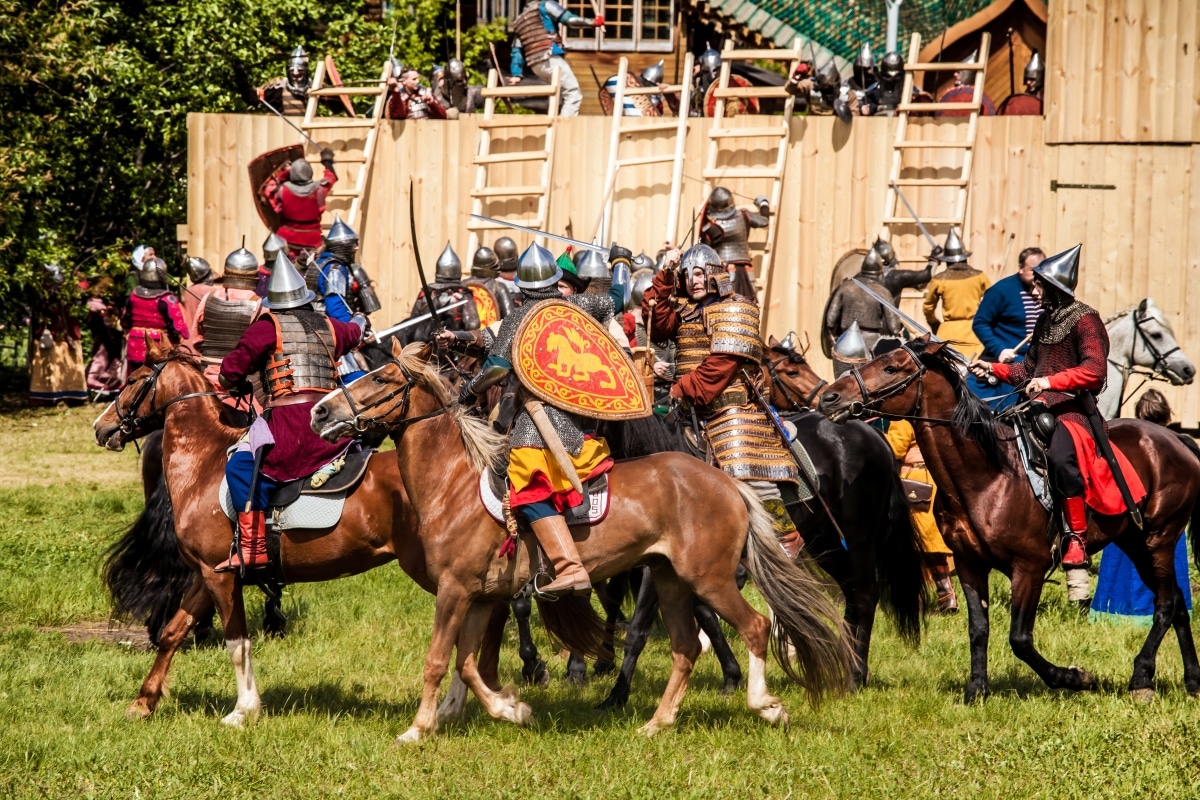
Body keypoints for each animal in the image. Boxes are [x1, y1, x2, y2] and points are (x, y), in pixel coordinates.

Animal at [93, 340, 432, 729]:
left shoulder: (221, 579)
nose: (101, 427)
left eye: (134, 379)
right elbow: (173, 633)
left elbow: (237, 642)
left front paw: (244, 709)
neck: (202, 463)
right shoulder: (206, 576)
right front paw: (144, 701)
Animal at [309, 340, 854, 743]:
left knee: (755, 627)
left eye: (381, 379)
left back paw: (765, 706)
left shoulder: (455, 591)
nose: (319, 412)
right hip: (670, 580)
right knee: (684, 647)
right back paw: (656, 723)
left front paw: (418, 729)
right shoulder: (480, 597)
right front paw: (511, 709)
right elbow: (467, 665)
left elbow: (440, 661)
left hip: (709, 578)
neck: (454, 483)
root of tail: (728, 483)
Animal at [816, 340, 1200, 705]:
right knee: (1178, 604)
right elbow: (978, 629)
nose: (829, 397)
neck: (987, 475)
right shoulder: (969, 565)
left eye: (891, 367)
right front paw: (976, 690)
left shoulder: (1029, 568)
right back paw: (1192, 681)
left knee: (1165, 606)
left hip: (1159, 539)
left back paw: (1141, 677)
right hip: (1134, 543)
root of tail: (1176, 438)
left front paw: (1076, 678)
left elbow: (1020, 638)